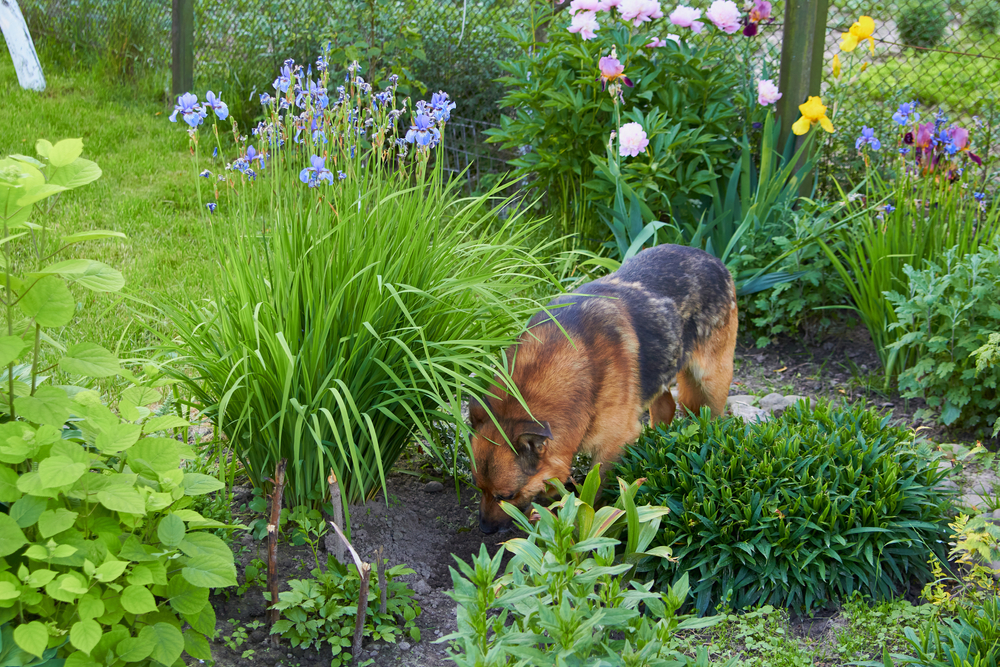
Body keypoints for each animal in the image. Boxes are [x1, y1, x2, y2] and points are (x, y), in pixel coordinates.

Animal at [468, 243, 736, 536]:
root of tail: (710, 258)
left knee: (712, 417)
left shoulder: (614, 444)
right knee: (666, 406)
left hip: (711, 381)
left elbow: (594, 491)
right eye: (478, 487)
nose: (483, 529)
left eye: (505, 497)